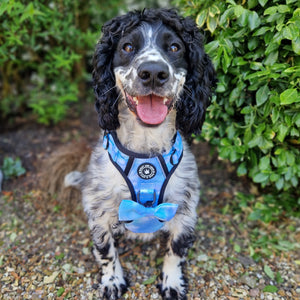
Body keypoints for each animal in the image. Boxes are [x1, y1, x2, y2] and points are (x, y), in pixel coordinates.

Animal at [65, 8, 216, 298]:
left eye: (175, 47)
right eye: (127, 47)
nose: (154, 72)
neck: (147, 152)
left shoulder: (185, 209)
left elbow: (176, 251)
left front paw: (171, 282)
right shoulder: (99, 211)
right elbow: (105, 251)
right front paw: (112, 281)